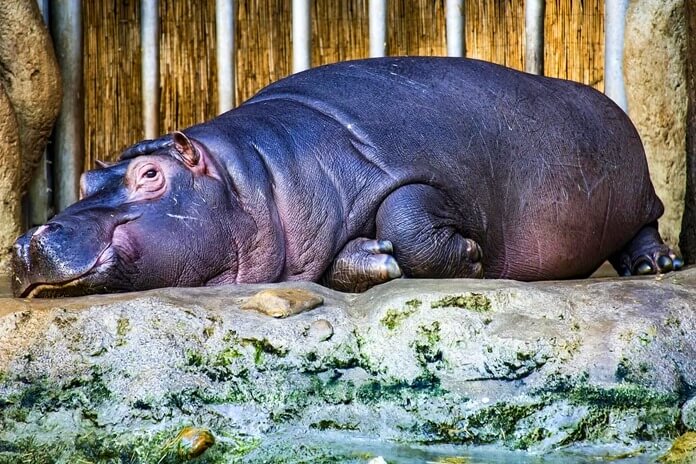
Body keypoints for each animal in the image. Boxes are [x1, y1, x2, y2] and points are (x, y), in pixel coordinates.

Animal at [12, 57, 682, 297]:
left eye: (151, 174)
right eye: (84, 180)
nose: (25, 242)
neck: (257, 177)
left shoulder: (407, 170)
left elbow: (411, 215)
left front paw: (469, 255)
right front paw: (374, 260)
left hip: (637, 194)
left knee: (647, 226)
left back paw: (658, 265)